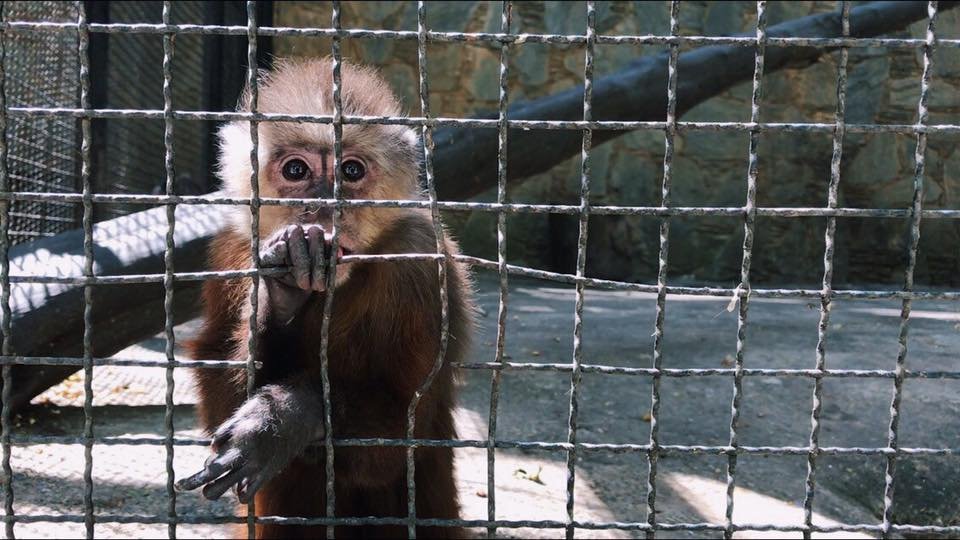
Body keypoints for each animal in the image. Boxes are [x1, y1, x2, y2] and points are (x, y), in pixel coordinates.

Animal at [175, 58, 474, 539]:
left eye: (350, 171)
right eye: (297, 171)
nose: (324, 209)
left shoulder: (421, 259)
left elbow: (403, 427)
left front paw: (285, 417)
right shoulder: (232, 247)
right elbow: (218, 400)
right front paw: (282, 295)